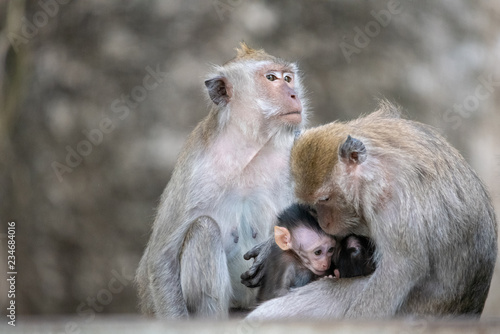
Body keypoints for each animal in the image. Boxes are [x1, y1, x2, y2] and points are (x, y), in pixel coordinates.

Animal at [137, 43, 308, 320]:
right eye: (271, 78)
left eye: (288, 78)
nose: (294, 95)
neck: (251, 148)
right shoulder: (194, 170)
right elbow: (160, 259)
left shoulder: (298, 146)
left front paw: (269, 247)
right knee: (204, 230)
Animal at [242, 100, 496, 320]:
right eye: (313, 207)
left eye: (325, 199)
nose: (324, 223)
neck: (374, 172)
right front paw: (271, 246)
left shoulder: (392, 201)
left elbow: (398, 270)